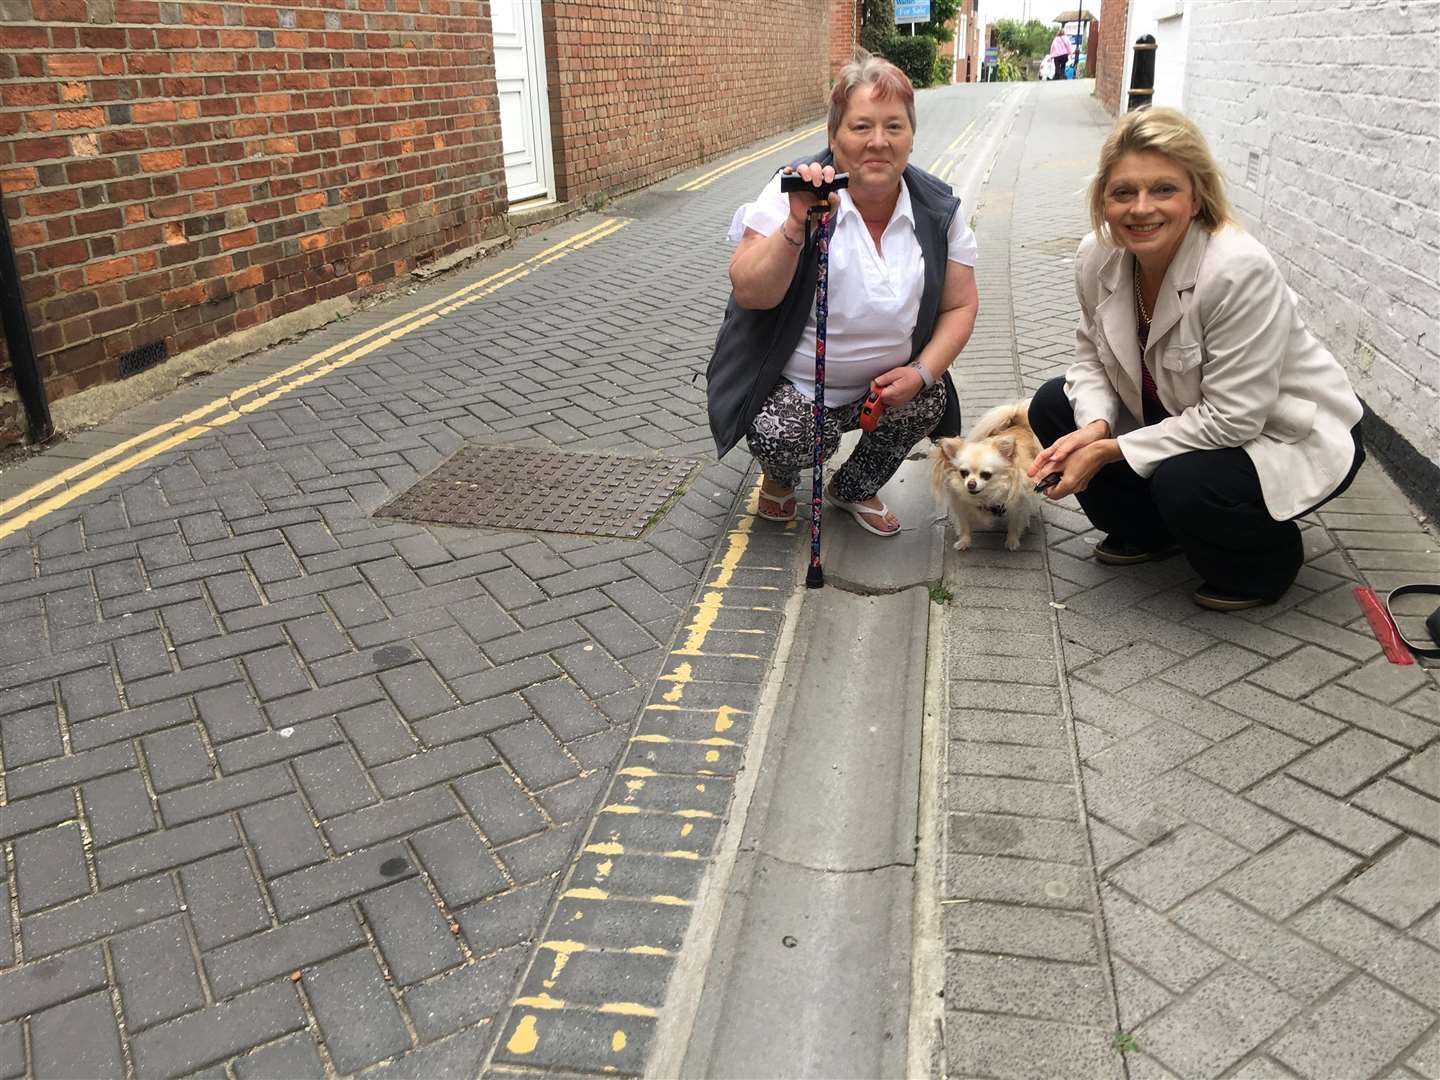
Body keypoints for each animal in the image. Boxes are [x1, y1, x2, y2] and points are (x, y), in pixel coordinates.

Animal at [927, 403, 1042, 552]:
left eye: (986, 475)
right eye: (963, 473)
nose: (971, 484)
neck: (985, 496)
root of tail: (1018, 424)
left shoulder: (1018, 503)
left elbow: (1014, 523)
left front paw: (1012, 541)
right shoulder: (961, 506)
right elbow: (964, 526)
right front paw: (964, 541)